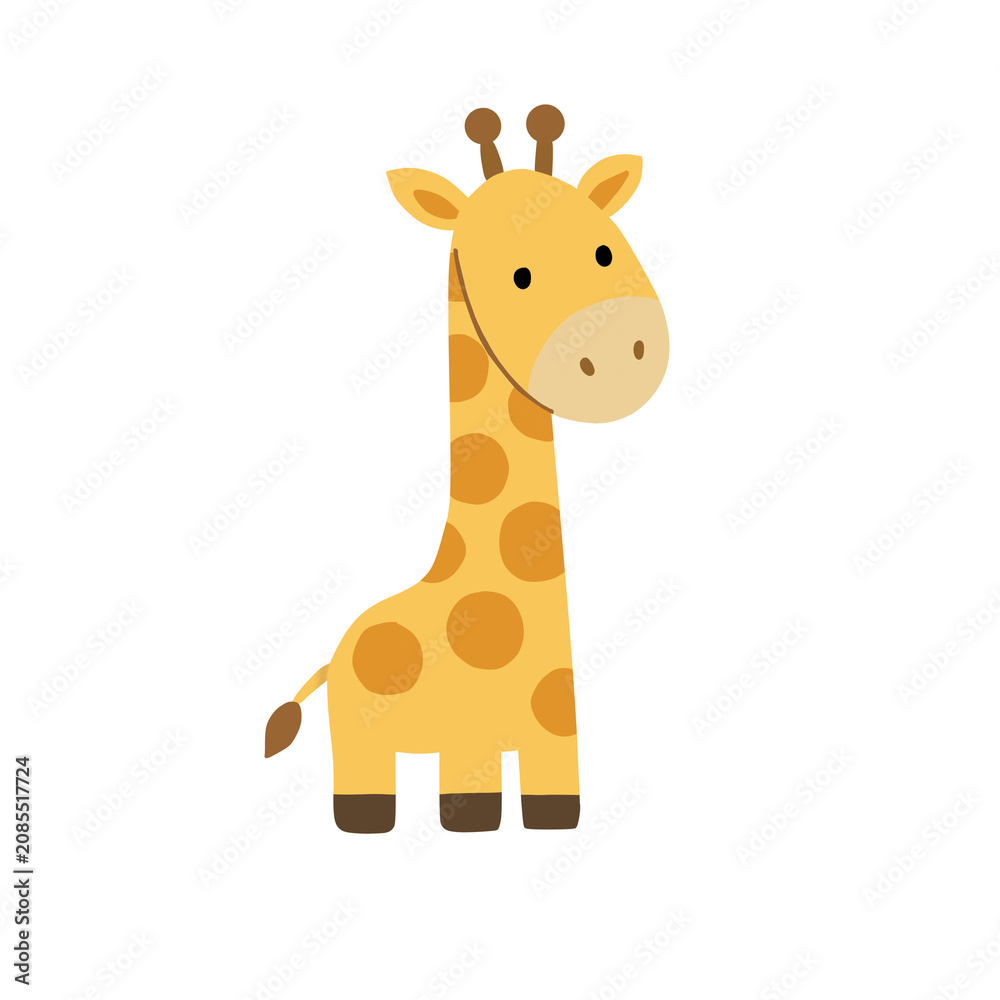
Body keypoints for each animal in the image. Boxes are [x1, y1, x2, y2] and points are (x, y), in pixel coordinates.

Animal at [264, 105, 669, 833]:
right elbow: (469, 799)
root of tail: (332, 660)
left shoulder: (555, 731)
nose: (622, 354)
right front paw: (470, 821)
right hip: (359, 740)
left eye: (604, 249)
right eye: (518, 276)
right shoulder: (471, 743)